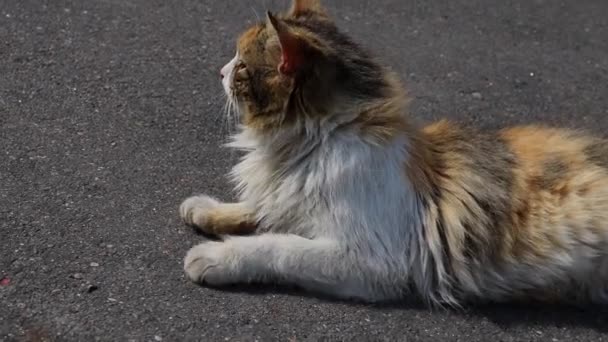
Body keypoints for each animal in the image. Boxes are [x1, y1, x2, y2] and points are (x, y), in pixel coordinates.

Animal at [179, 0, 608, 304]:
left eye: (241, 64)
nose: (220, 70)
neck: (316, 142)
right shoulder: (291, 194)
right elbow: (263, 207)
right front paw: (210, 210)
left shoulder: (370, 260)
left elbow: (278, 245)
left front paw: (216, 257)